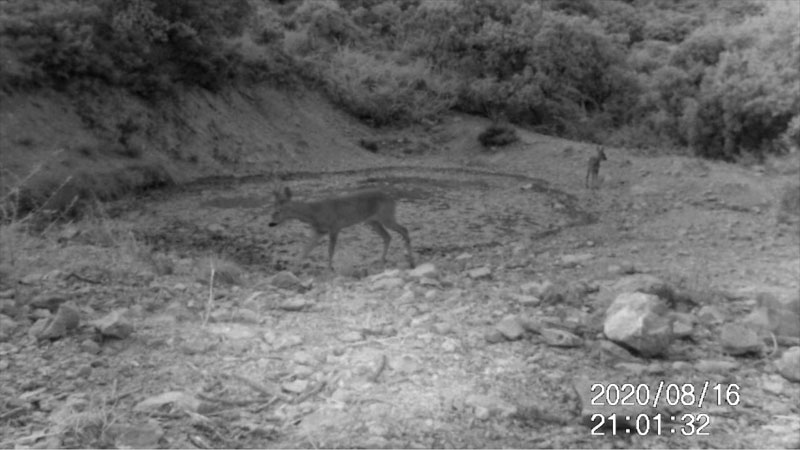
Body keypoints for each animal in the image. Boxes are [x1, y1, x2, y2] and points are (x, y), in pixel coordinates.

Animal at [270, 187, 418, 270]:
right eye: (272, 209)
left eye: (278, 211)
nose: (271, 223)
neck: (315, 213)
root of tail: (392, 199)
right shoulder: (319, 231)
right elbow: (305, 250)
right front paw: (293, 269)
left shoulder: (335, 226)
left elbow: (330, 251)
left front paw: (329, 269)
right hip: (373, 221)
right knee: (387, 236)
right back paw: (381, 261)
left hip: (386, 216)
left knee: (404, 230)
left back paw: (411, 262)